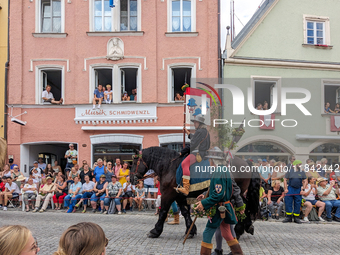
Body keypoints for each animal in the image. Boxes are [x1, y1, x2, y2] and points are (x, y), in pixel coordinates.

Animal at [130, 147, 260, 239]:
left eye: (134, 162)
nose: (131, 179)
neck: (168, 165)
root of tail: (246, 163)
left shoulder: (168, 194)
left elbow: (163, 211)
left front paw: (155, 231)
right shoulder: (180, 196)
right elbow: (185, 212)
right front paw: (190, 230)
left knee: (243, 206)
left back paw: (239, 230)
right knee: (245, 206)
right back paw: (247, 227)